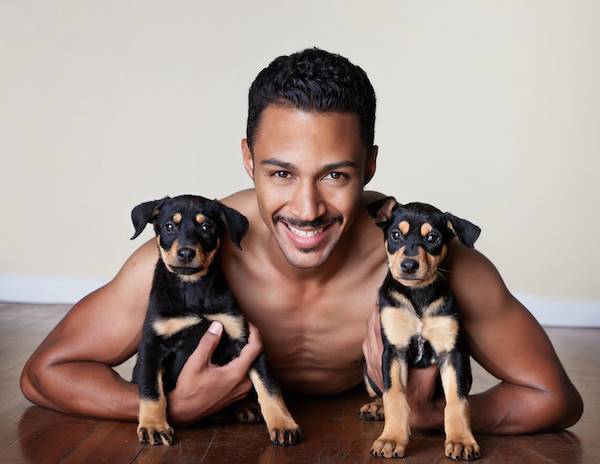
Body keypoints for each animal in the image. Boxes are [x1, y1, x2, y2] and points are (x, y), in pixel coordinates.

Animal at [131, 195, 300, 446]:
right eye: (169, 227)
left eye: (207, 227)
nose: (186, 253)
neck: (193, 289)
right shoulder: (152, 345)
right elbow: (151, 388)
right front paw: (154, 426)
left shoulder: (242, 338)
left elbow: (269, 386)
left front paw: (283, 424)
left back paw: (245, 406)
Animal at [360, 198, 482, 460]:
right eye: (395, 235)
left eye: (433, 238)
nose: (408, 265)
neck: (418, 294)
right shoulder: (394, 350)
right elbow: (394, 395)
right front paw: (391, 439)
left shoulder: (452, 353)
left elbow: (457, 401)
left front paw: (461, 440)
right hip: (367, 370)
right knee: (379, 392)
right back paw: (375, 407)